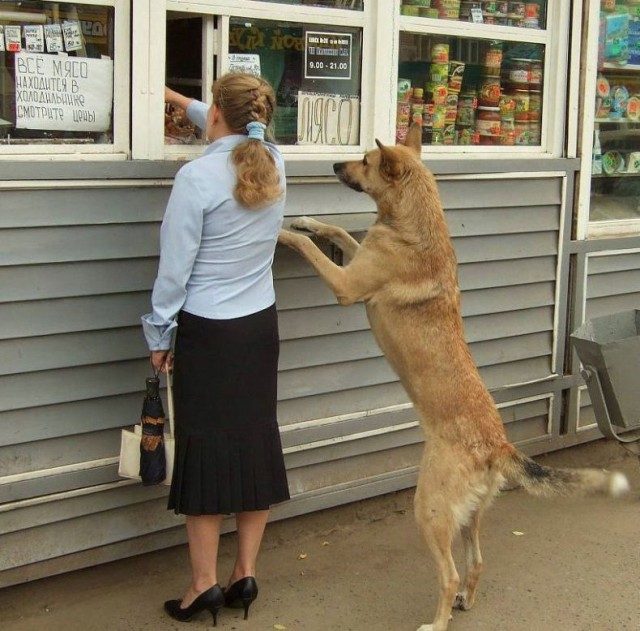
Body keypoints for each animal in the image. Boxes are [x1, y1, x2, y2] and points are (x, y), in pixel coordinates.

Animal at [278, 124, 632, 631]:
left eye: (365, 161)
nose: (334, 165)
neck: (413, 221)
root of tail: (497, 445)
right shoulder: (357, 258)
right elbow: (338, 230)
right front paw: (308, 220)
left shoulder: (346, 285)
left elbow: (311, 248)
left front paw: (283, 232)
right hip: (468, 515)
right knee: (476, 562)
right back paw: (466, 598)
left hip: (428, 510)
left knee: (447, 574)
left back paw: (438, 619)